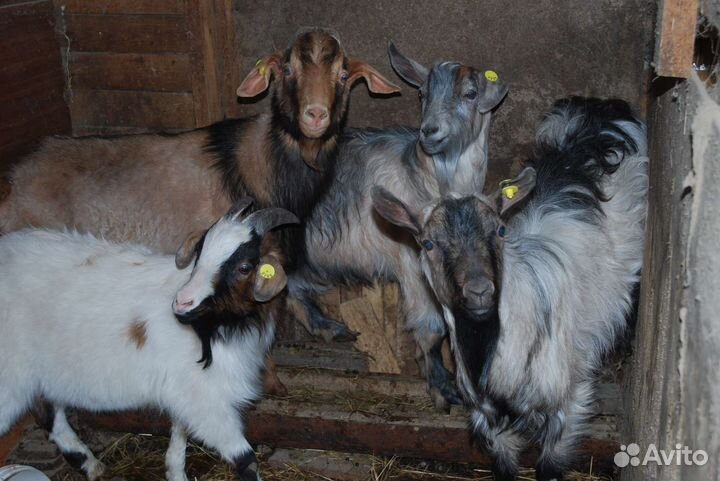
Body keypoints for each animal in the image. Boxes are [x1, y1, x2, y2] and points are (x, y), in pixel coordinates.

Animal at [0, 199, 299, 481]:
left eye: (245, 267)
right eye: (200, 254)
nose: (182, 302)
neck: (214, 328)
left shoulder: (185, 393)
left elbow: (179, 436)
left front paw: (175, 474)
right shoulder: (207, 402)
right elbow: (245, 460)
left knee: (50, 416)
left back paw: (92, 465)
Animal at [289, 42, 508, 409]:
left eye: (470, 93)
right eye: (422, 93)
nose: (429, 131)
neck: (427, 176)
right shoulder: (412, 260)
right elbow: (432, 327)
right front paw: (441, 388)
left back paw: (329, 328)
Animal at [372, 97, 648, 480]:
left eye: (501, 231)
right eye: (427, 244)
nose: (479, 290)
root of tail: (599, 112)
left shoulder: (567, 401)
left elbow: (550, 466)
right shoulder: (488, 417)